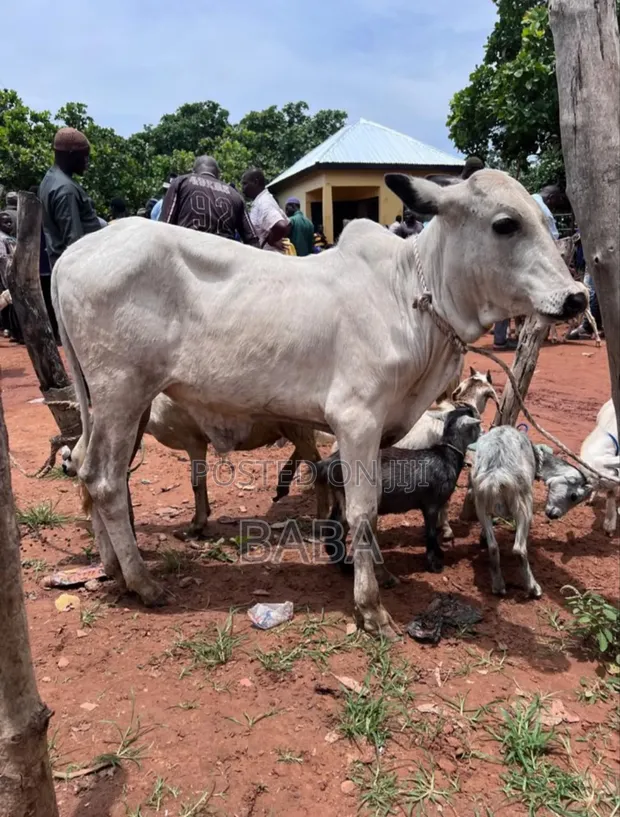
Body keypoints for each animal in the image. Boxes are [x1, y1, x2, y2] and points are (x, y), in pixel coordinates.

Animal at [52, 169, 586, 637]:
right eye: (505, 224)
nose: (577, 297)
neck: (411, 295)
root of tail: (70, 256)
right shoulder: (356, 420)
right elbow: (362, 512)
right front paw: (371, 608)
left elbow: (369, 508)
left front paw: (382, 573)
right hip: (121, 391)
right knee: (105, 481)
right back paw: (143, 582)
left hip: (121, 402)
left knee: (87, 468)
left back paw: (112, 567)